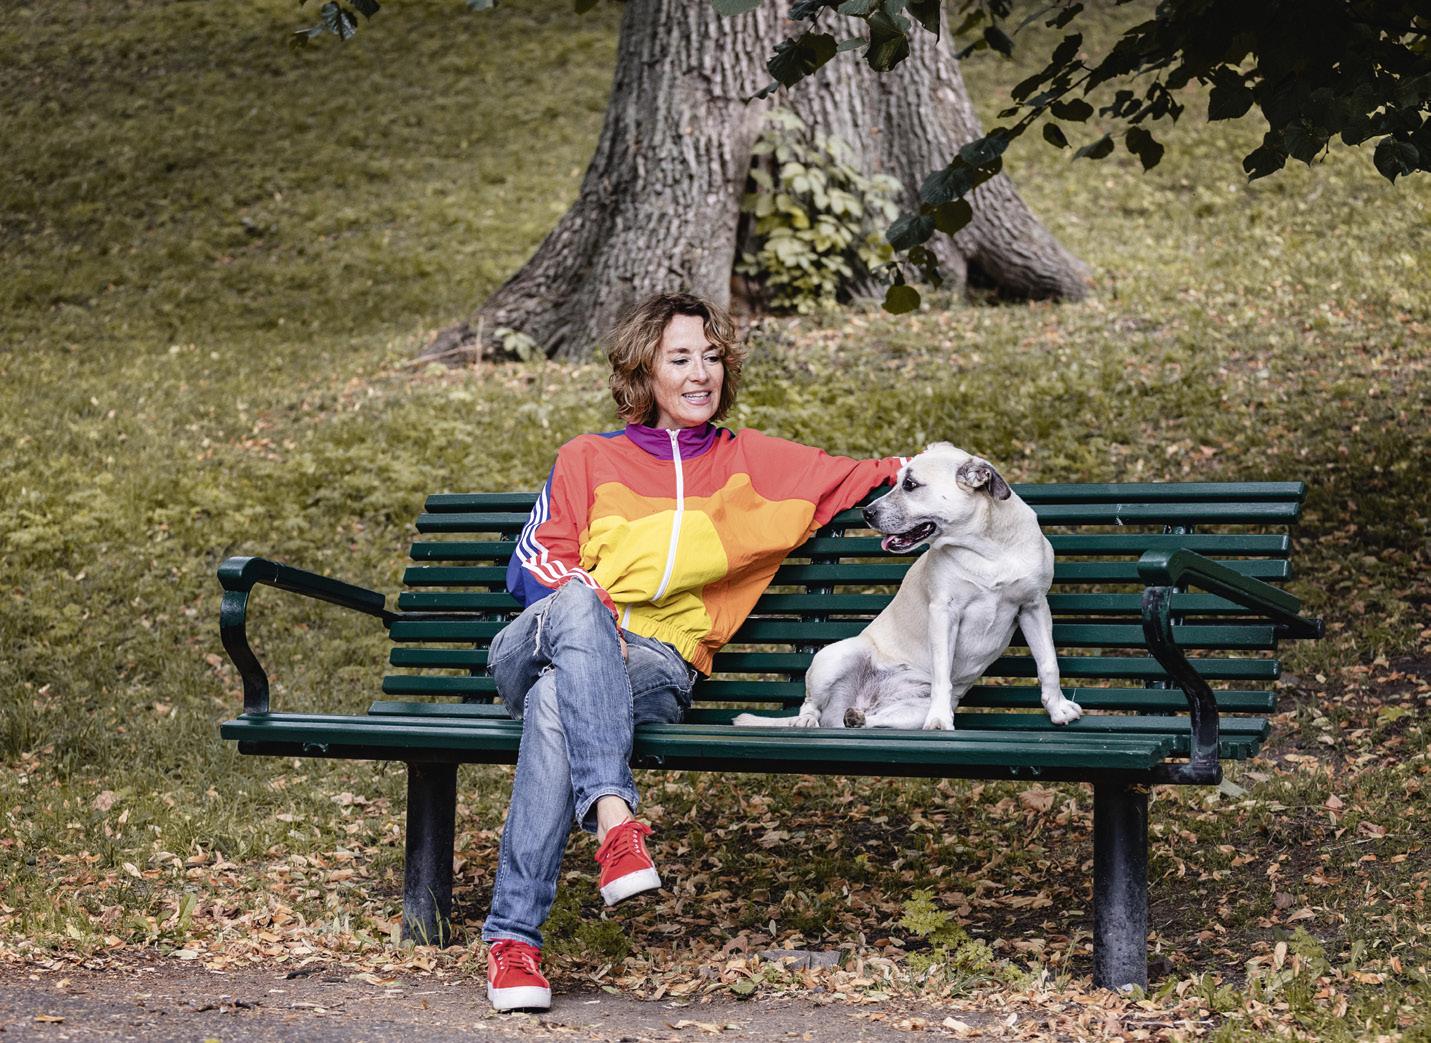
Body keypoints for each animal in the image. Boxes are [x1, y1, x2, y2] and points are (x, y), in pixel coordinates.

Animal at [733, 443, 1082, 731]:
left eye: (910, 485)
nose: (867, 512)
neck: (987, 548)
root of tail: (862, 700)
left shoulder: (1034, 607)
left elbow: (1048, 663)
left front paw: (1058, 708)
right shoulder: (944, 613)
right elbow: (942, 672)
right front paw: (940, 720)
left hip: (907, 713)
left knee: (868, 719)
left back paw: (857, 717)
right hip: (835, 656)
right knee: (811, 705)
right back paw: (805, 721)